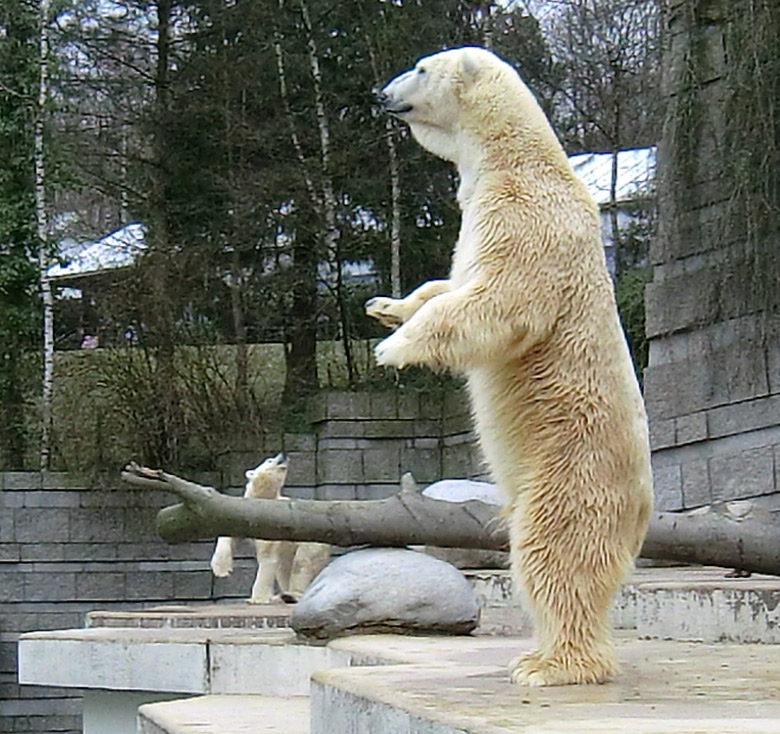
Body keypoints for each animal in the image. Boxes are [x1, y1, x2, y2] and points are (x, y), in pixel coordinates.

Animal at [366, 46, 652, 688]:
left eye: (420, 69)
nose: (380, 94)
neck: (514, 160)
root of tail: (644, 508)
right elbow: (446, 284)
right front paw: (386, 307)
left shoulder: (525, 216)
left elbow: (499, 300)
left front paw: (394, 349)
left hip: (571, 465)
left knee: (555, 551)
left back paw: (550, 666)